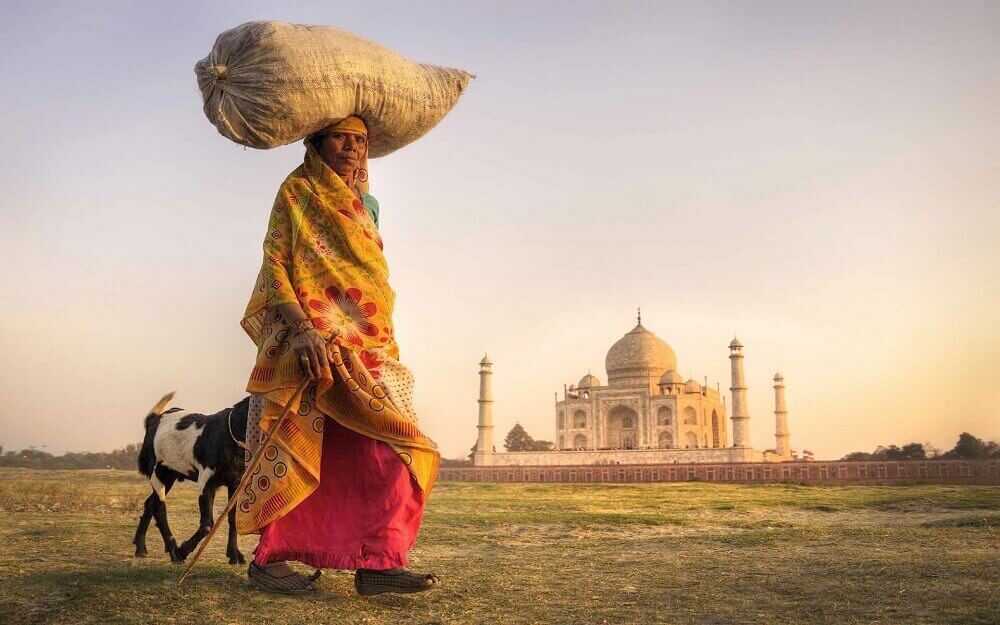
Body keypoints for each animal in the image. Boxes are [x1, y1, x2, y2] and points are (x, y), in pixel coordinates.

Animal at [132, 392, 249, 564]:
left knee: (149, 503)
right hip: (159, 474)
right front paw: (183, 551)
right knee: (159, 508)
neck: (231, 433)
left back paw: (141, 546)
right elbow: (207, 524)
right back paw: (173, 550)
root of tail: (154, 419)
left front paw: (234, 554)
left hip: (170, 476)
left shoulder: (236, 483)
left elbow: (232, 518)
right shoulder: (206, 484)